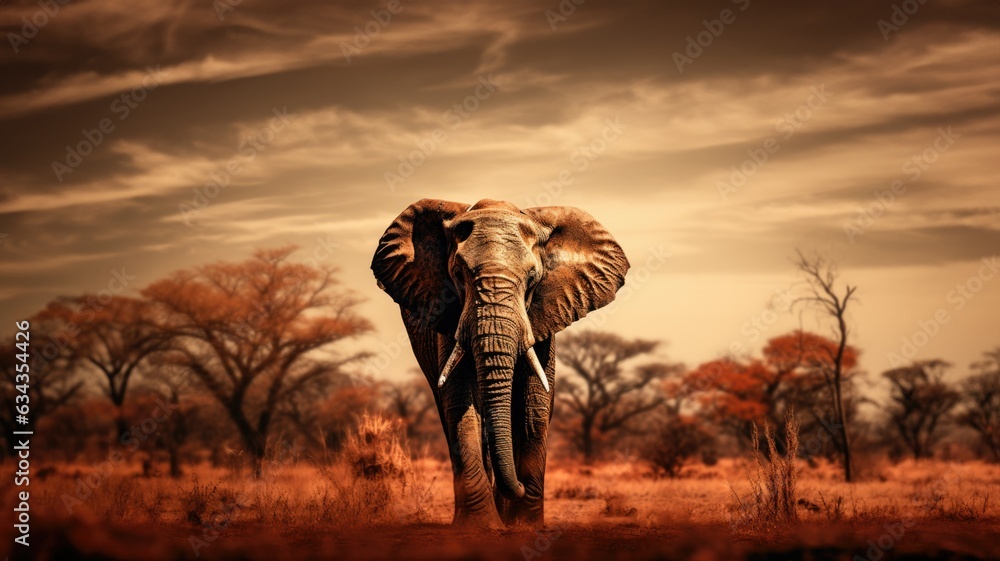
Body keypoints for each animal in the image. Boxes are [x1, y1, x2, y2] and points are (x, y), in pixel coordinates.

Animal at [371, 198, 629, 528]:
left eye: (532, 279)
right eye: (458, 275)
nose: (517, 486)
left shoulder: (544, 314)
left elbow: (535, 404)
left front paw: (525, 525)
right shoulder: (448, 314)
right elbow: (461, 403)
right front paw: (480, 526)